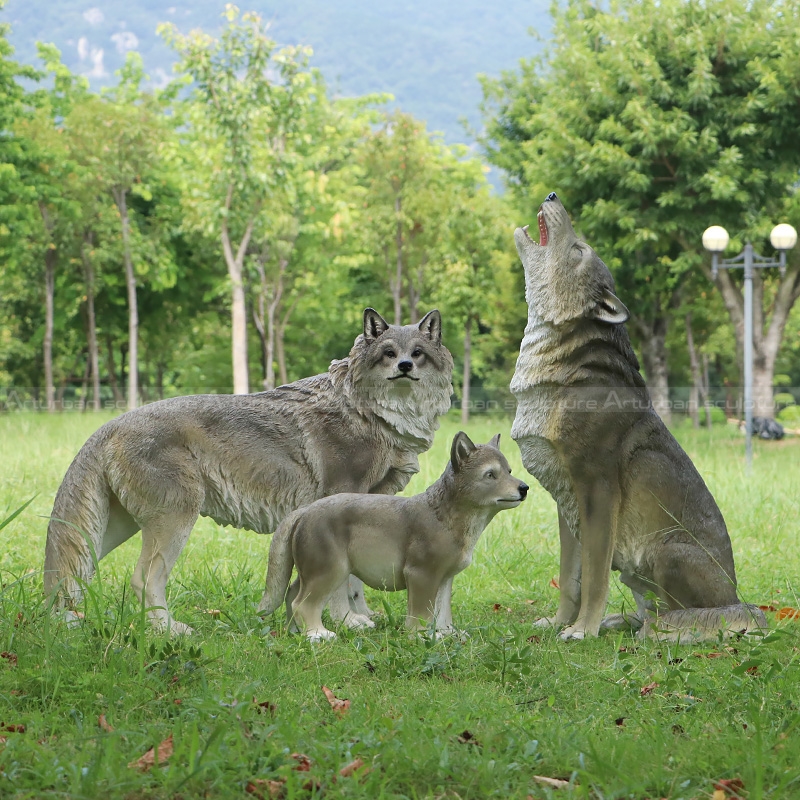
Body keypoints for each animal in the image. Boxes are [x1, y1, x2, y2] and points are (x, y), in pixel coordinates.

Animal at [44, 308, 454, 634]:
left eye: (417, 354)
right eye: (389, 353)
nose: (405, 367)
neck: (370, 413)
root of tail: (109, 425)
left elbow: (355, 580)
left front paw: (363, 618)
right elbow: (341, 584)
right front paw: (346, 622)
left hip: (110, 533)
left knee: (75, 577)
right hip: (174, 522)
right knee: (143, 580)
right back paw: (171, 632)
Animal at [258, 432, 528, 641]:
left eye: (509, 470)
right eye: (490, 475)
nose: (524, 488)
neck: (444, 515)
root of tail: (303, 511)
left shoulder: (444, 578)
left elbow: (442, 612)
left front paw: (447, 634)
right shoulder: (421, 574)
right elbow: (421, 612)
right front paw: (422, 636)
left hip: (312, 570)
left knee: (291, 594)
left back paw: (295, 631)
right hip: (328, 571)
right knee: (301, 603)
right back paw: (317, 635)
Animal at [510, 192, 766, 642]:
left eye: (578, 250)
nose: (553, 196)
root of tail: (736, 596)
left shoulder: (597, 488)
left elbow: (594, 576)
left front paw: (582, 631)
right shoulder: (566, 499)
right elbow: (570, 578)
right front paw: (560, 624)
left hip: (666, 552)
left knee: (693, 616)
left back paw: (655, 631)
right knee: (652, 611)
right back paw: (622, 623)